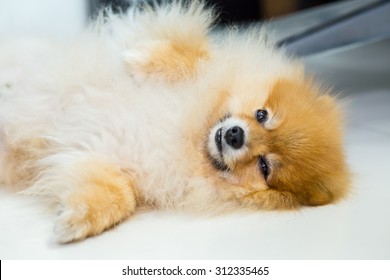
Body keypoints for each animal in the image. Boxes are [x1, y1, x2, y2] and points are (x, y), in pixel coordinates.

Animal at [0, 0, 350, 243]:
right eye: (262, 114)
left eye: (264, 166)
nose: (235, 135)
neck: (191, 134)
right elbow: (191, 56)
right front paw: (137, 58)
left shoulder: (109, 161)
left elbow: (119, 196)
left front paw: (76, 221)